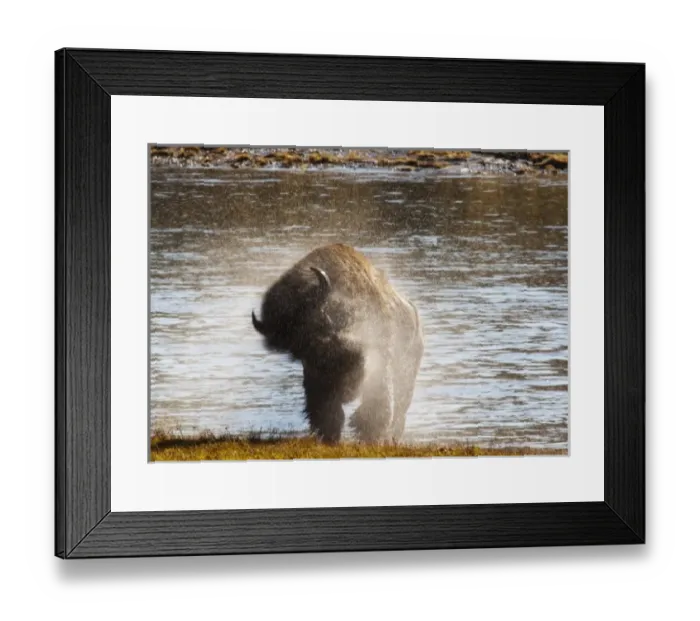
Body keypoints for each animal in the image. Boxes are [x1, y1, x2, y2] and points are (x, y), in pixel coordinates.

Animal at [252, 243, 423, 445]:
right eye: (299, 348)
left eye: (315, 321)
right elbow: (325, 409)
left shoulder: (380, 359)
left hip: (406, 370)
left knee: (400, 406)